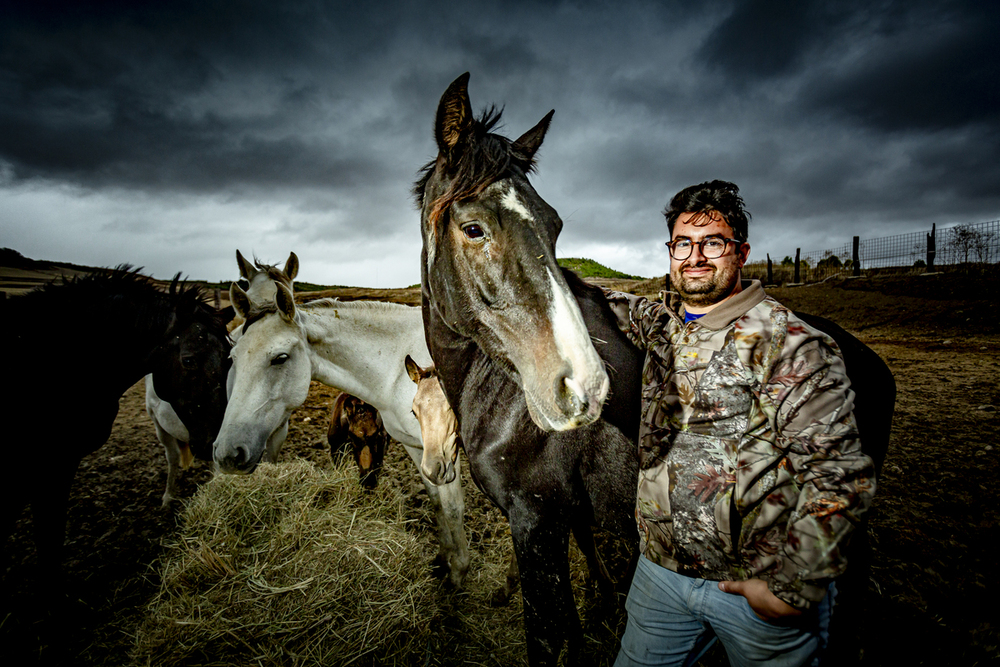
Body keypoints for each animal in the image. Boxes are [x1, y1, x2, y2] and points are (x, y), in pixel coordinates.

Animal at [215, 280, 472, 588]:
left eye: (280, 358)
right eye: (233, 357)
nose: (228, 453)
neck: (397, 369)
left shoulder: (446, 450)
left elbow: (454, 508)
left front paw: (458, 573)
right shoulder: (419, 447)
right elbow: (436, 502)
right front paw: (443, 559)